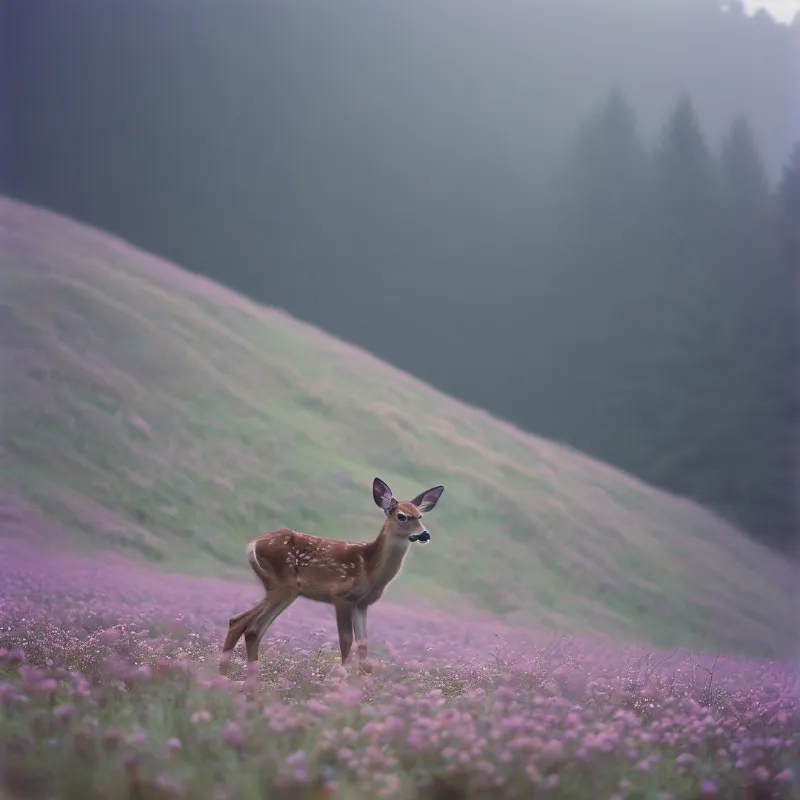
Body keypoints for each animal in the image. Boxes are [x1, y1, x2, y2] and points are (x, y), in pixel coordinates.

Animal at [218, 477, 445, 688]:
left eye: (420, 516)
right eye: (402, 516)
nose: (424, 534)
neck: (369, 569)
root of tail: (252, 545)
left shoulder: (362, 603)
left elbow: (363, 646)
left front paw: (361, 686)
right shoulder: (341, 596)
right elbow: (346, 641)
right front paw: (338, 682)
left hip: (278, 588)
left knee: (238, 621)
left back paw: (224, 678)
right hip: (283, 585)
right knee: (253, 628)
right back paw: (248, 685)